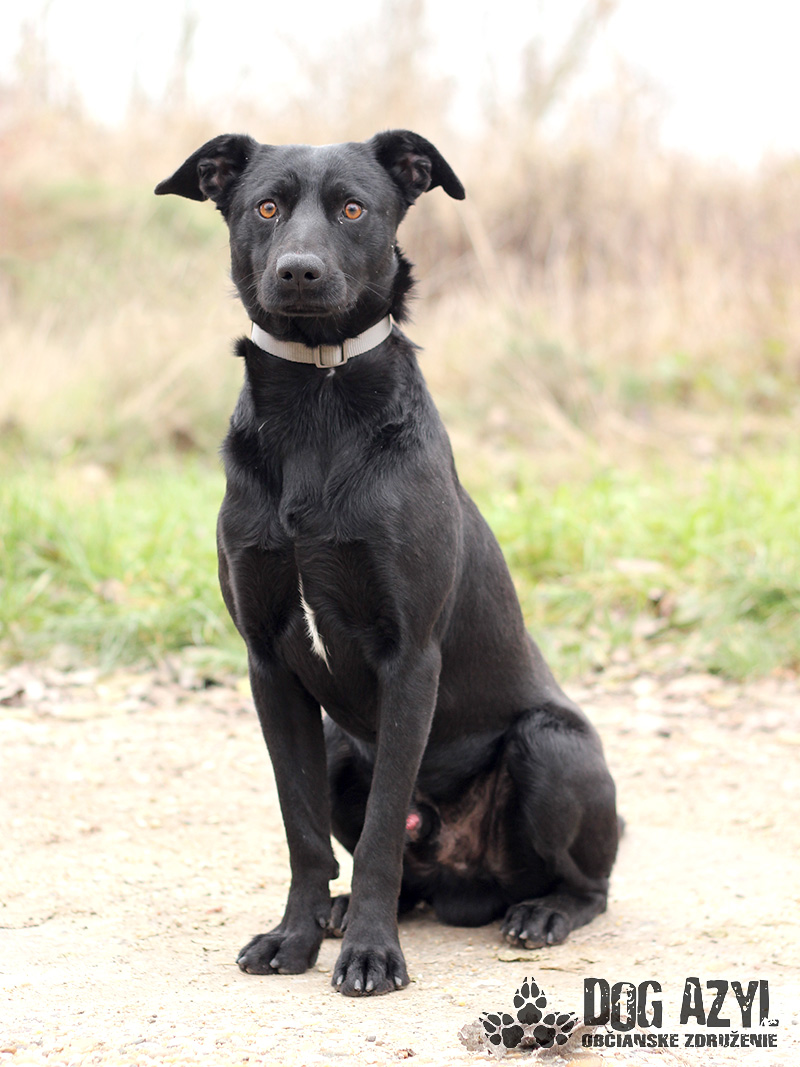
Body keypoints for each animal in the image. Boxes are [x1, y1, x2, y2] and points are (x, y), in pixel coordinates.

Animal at [155, 130, 619, 997]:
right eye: (265, 207)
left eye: (352, 208)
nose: (299, 271)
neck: (315, 400)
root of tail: (466, 882)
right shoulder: (269, 664)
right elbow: (304, 829)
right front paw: (296, 935)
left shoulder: (411, 659)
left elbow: (373, 838)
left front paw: (371, 953)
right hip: (345, 744)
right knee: (404, 870)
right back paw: (346, 913)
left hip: (553, 746)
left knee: (588, 883)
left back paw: (540, 913)